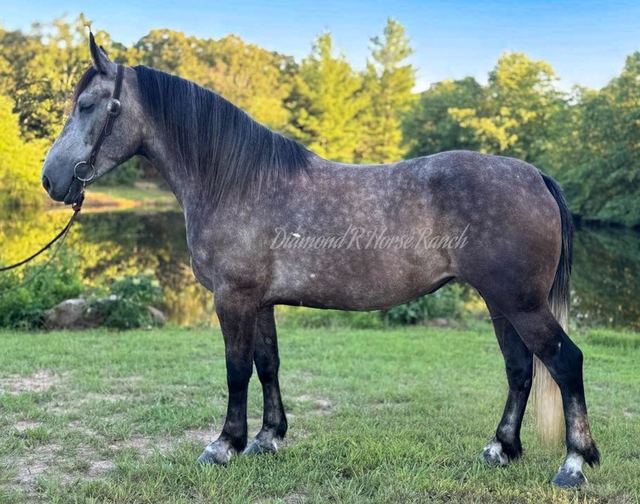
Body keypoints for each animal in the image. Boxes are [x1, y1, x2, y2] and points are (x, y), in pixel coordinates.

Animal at [40, 34, 599, 488]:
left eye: (87, 105)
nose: (51, 179)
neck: (236, 181)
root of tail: (533, 175)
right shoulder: (259, 302)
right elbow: (267, 365)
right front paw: (268, 437)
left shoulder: (233, 299)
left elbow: (235, 371)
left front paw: (224, 445)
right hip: (500, 303)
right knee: (520, 369)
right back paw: (501, 449)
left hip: (521, 303)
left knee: (564, 362)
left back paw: (574, 463)